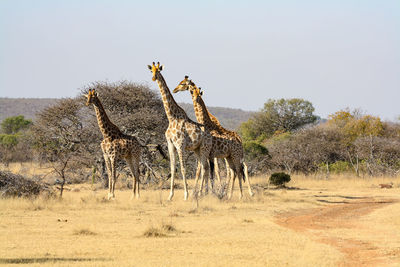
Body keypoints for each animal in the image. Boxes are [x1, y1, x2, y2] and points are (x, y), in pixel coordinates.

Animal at [148, 62, 214, 201]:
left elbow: (183, 169)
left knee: (204, 168)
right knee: (204, 168)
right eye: (151, 71)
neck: (172, 117)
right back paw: (201, 193)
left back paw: (199, 194)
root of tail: (210, 136)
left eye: (158, 71)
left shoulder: (180, 144)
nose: (153, 78)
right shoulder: (170, 144)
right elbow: (173, 168)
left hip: (205, 148)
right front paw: (170, 196)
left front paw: (185, 195)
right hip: (197, 149)